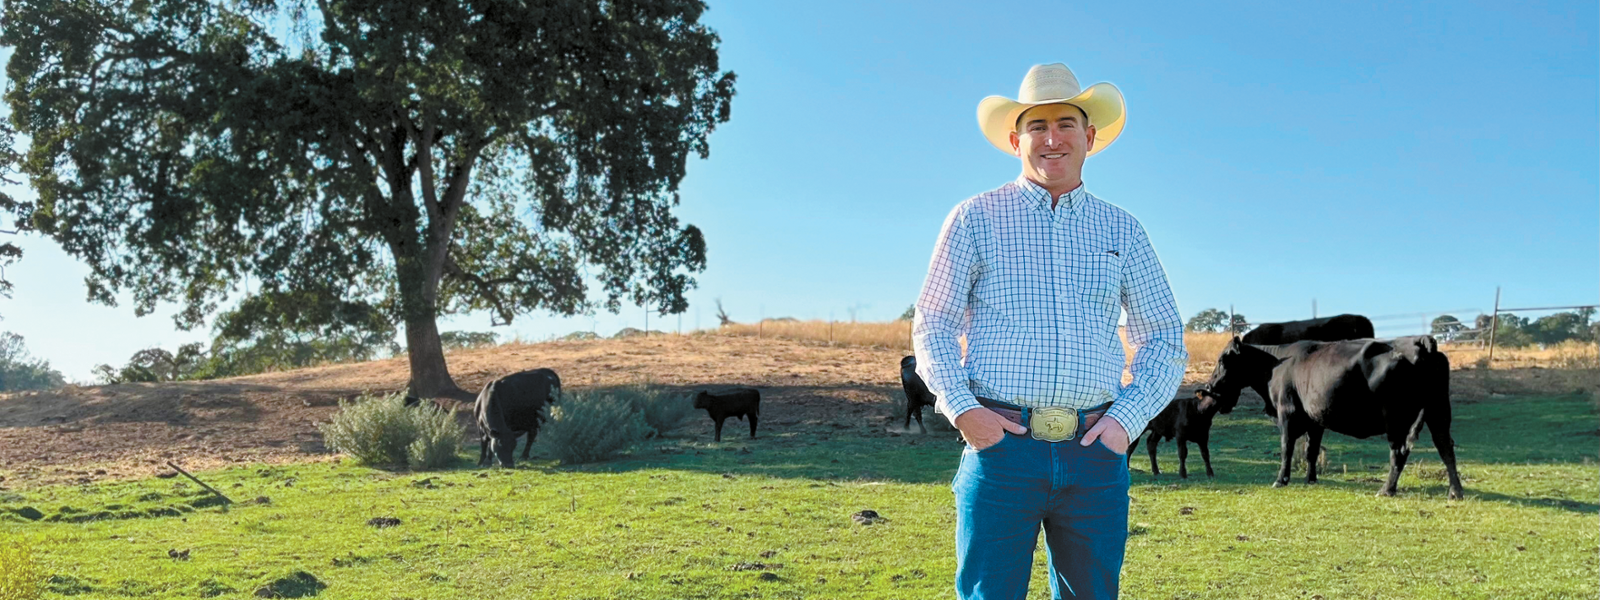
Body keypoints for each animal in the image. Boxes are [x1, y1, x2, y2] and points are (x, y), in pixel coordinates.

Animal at [1203, 336, 1465, 499]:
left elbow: (1287, 449)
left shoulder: (1287, 415)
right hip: (1438, 411)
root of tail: (1420, 341)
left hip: (1395, 419)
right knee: (1445, 447)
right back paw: (1455, 492)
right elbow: (1311, 451)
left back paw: (1387, 490)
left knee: (1399, 452)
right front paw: (1311, 479)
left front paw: (1281, 480)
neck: (1275, 366)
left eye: (1222, 360)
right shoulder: (1314, 420)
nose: (1209, 386)